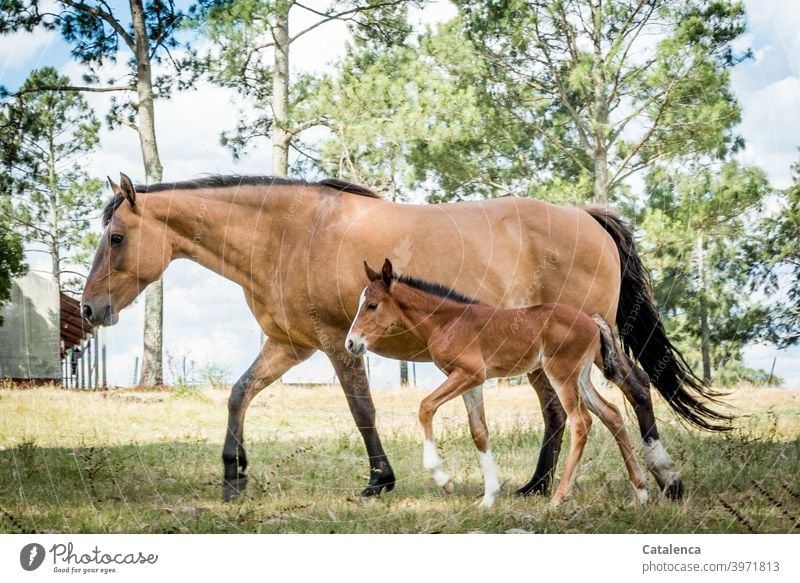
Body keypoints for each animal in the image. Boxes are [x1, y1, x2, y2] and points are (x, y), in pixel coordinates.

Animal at [346, 262, 648, 512]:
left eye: (372, 305)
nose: (351, 343)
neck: (447, 321)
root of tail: (591, 318)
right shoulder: (471, 383)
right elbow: (479, 432)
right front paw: (489, 497)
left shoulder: (469, 374)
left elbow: (425, 406)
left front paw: (443, 479)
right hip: (581, 376)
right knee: (611, 414)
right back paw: (641, 492)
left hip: (562, 373)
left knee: (581, 421)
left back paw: (559, 498)